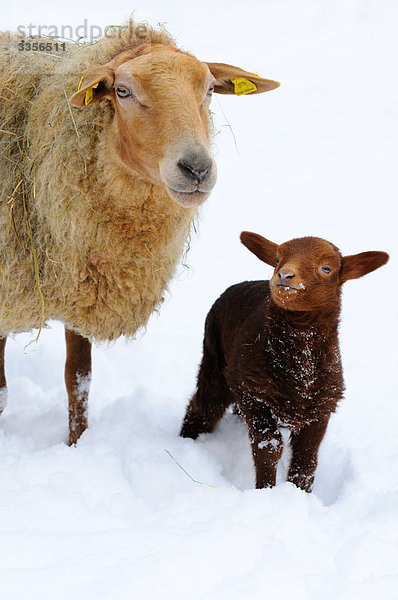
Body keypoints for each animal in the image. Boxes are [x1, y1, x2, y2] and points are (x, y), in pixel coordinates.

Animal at [0, 22, 280, 446]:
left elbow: (78, 379)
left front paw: (78, 443)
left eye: (209, 89)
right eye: (122, 91)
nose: (197, 168)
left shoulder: (80, 282)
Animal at [180, 232, 388, 490]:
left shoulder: (322, 406)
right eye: (277, 259)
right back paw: (186, 443)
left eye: (326, 268)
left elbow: (306, 458)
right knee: (204, 407)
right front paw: (266, 490)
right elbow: (268, 447)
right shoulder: (251, 392)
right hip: (214, 360)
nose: (285, 275)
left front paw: (299, 493)